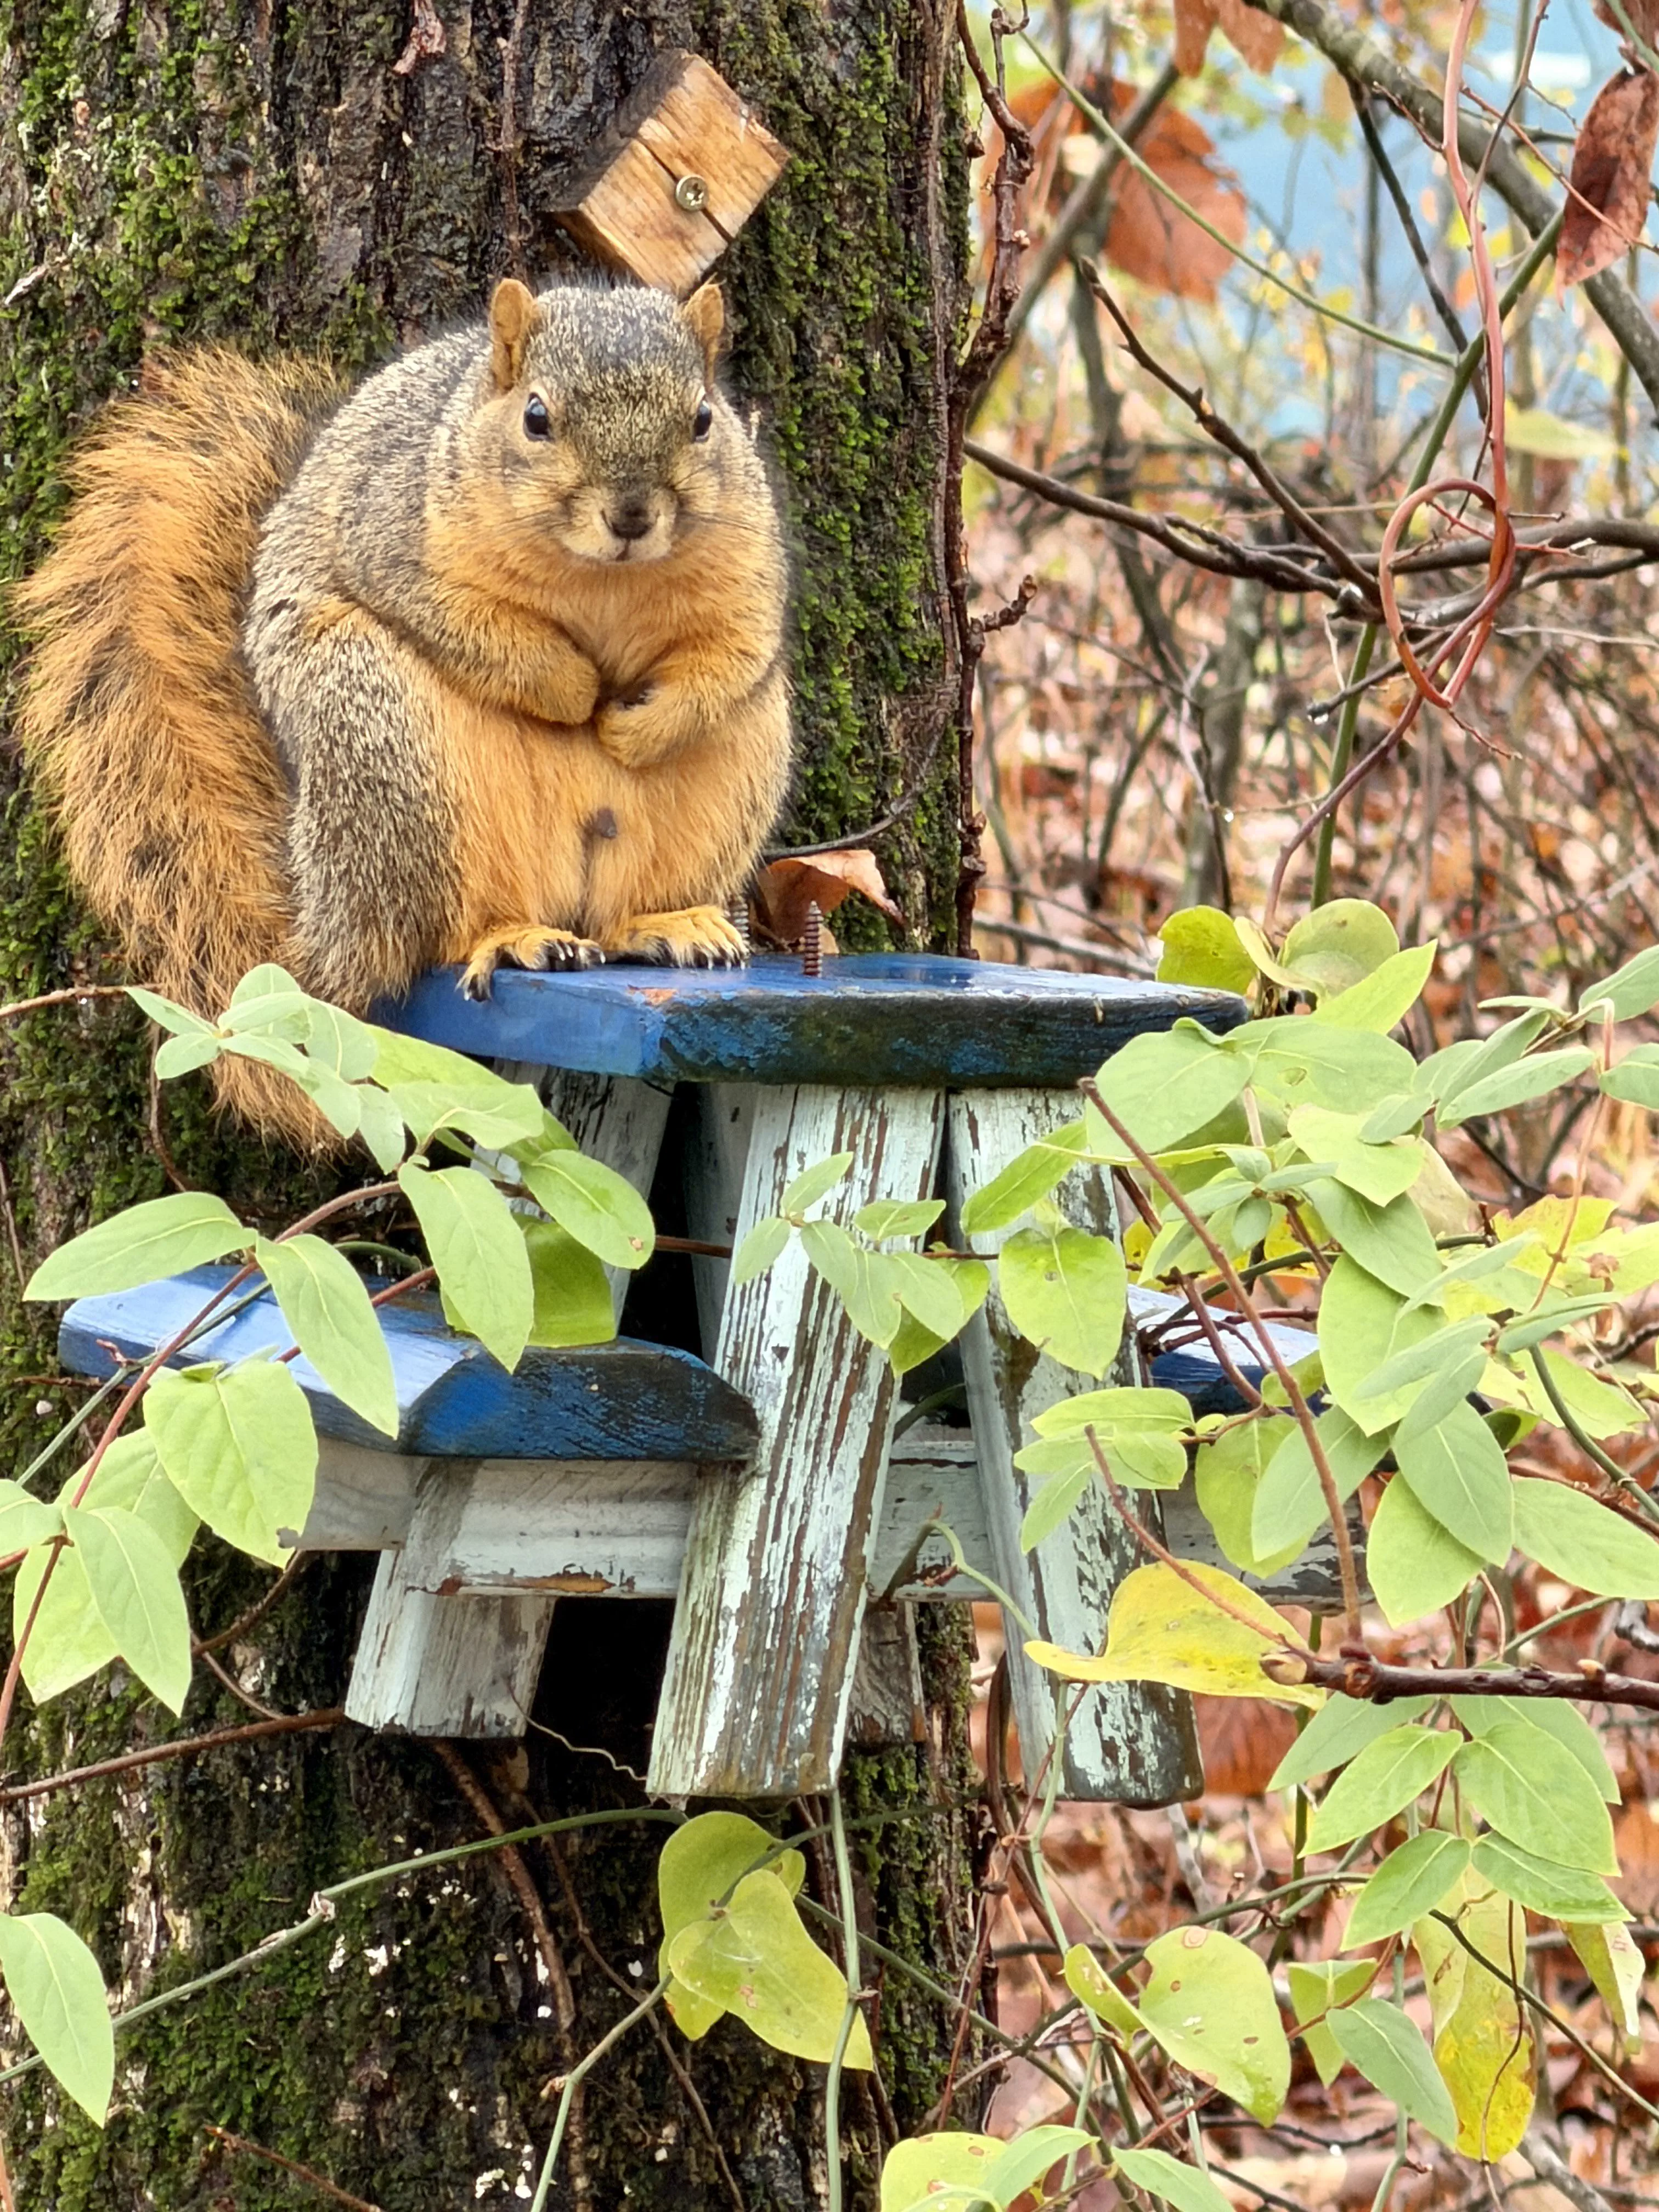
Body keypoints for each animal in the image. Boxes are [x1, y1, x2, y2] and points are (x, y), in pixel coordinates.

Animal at [15, 277, 793, 1139]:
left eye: (704, 419)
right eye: (536, 417)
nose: (630, 515)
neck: (604, 580)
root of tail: (329, 927)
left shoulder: (750, 568)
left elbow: (734, 654)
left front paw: (637, 725)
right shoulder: (395, 541)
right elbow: (475, 632)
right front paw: (573, 689)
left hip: (741, 766)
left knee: (619, 913)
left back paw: (665, 926)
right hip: (388, 743)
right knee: (436, 937)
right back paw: (512, 937)